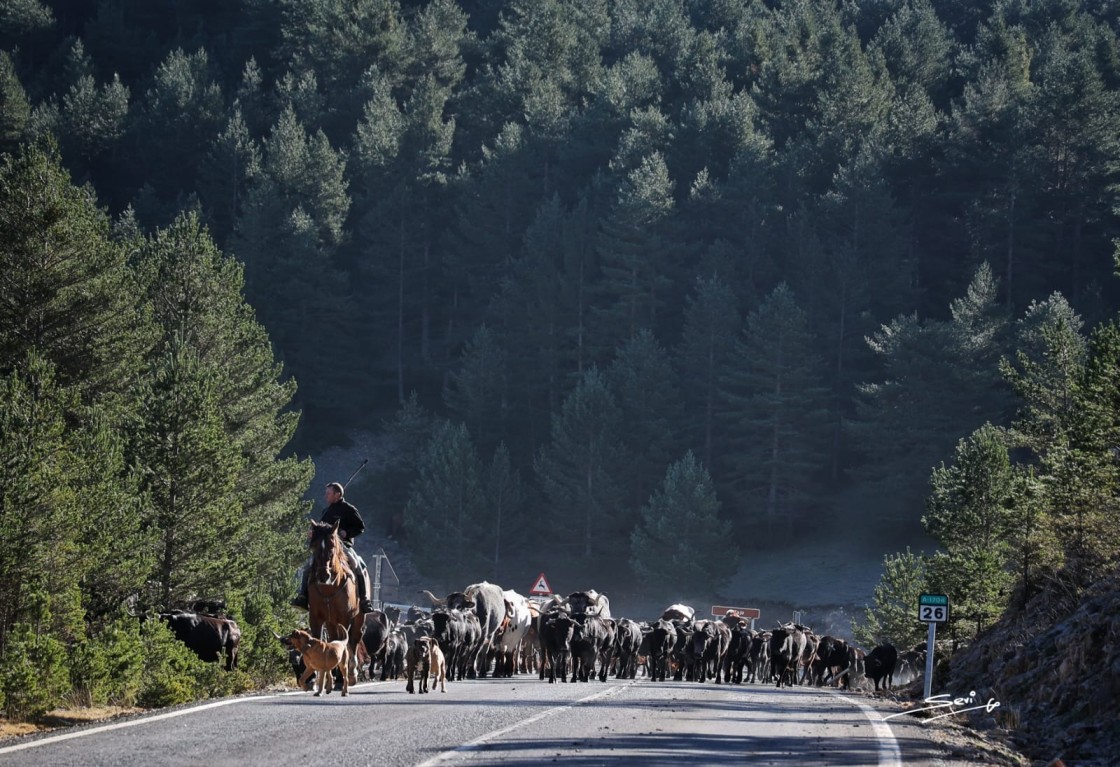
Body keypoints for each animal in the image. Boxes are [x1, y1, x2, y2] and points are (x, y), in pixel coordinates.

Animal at [306, 517, 362, 685]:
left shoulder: (345, 618)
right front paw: (316, 678)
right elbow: (317, 641)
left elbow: (346, 642)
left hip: (358, 619)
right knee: (334, 639)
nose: (323, 576)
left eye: (332, 546)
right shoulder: (316, 618)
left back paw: (351, 673)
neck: (328, 588)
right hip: (331, 622)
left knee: (353, 641)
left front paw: (343, 676)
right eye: (314, 547)